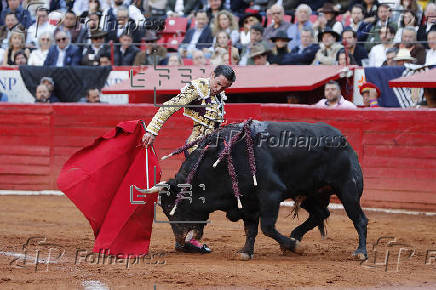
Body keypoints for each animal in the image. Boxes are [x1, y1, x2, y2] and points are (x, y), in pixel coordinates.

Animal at [149, 120, 368, 260]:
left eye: (172, 208)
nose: (180, 245)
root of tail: (343, 140)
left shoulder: (270, 194)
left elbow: (267, 227)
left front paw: (293, 246)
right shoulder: (248, 202)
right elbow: (250, 229)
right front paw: (247, 251)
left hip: (348, 189)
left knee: (359, 219)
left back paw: (360, 252)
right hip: (311, 193)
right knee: (320, 213)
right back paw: (295, 236)